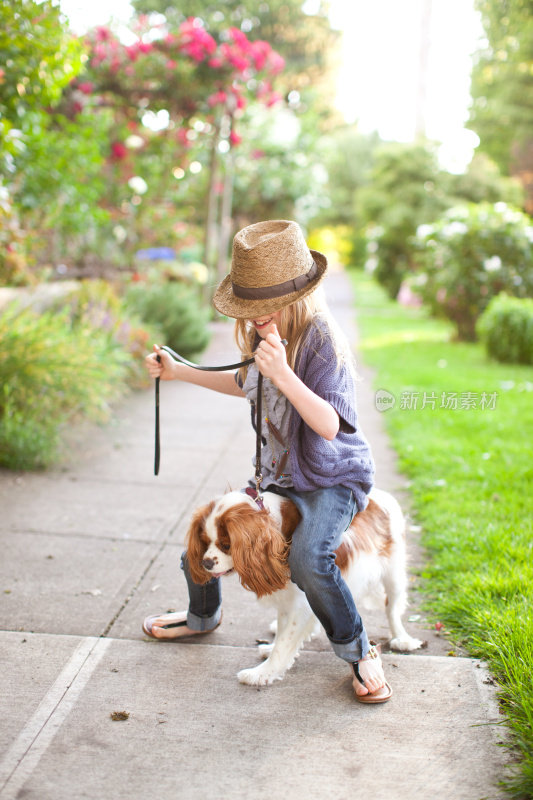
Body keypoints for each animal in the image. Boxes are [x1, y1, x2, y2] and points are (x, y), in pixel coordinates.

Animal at [185, 484, 422, 684]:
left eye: (226, 545)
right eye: (204, 541)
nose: (206, 563)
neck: (275, 529)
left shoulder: (299, 602)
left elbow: (284, 643)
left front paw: (262, 673)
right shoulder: (288, 599)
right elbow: (283, 633)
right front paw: (271, 654)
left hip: (394, 574)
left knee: (392, 609)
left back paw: (402, 638)